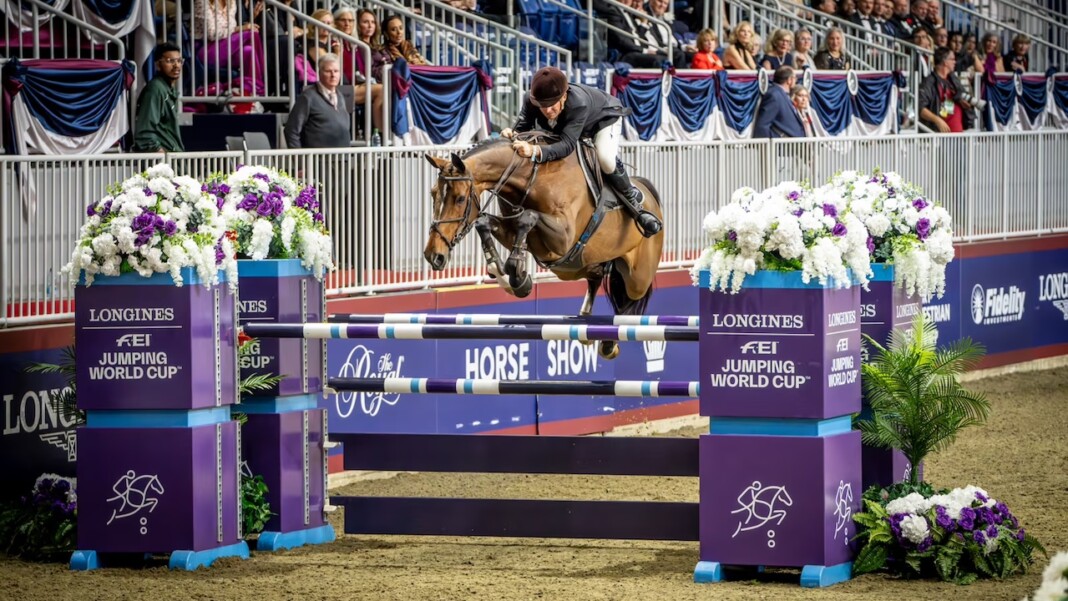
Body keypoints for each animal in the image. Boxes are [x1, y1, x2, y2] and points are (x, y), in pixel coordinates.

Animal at [423, 134, 665, 359]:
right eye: (433, 193)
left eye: (460, 199)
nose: (433, 255)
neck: (531, 180)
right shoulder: (513, 231)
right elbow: (485, 223)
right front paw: (502, 272)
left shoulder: (563, 239)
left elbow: (528, 217)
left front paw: (517, 273)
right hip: (581, 266)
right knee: (596, 277)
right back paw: (589, 325)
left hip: (637, 277)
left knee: (631, 301)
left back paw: (608, 342)